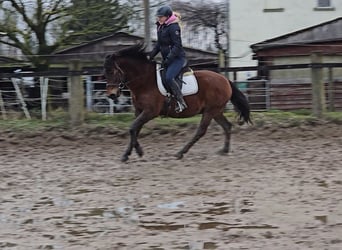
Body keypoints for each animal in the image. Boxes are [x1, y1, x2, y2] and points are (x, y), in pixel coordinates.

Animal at [104, 43, 251, 162]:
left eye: (112, 71)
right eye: (105, 73)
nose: (111, 94)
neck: (144, 80)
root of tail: (224, 80)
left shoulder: (150, 112)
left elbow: (132, 128)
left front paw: (137, 152)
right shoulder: (139, 111)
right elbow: (135, 129)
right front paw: (128, 154)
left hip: (210, 111)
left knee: (201, 131)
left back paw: (181, 153)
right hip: (216, 111)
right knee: (227, 126)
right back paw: (224, 150)